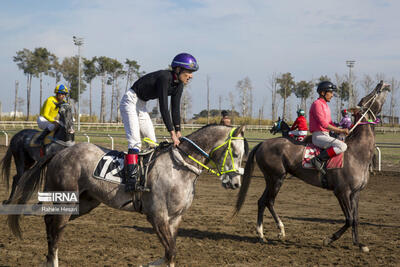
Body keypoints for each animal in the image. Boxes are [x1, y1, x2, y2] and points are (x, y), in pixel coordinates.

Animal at [7, 125, 247, 267]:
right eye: (235, 153)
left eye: (243, 154)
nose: (235, 183)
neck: (179, 167)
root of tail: (61, 152)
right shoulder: (157, 216)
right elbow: (171, 251)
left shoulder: (175, 219)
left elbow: (169, 252)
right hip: (68, 199)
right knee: (55, 229)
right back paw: (53, 260)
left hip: (84, 203)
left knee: (50, 221)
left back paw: (48, 260)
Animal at [233, 81, 390, 253]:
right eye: (368, 96)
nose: (382, 84)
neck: (356, 153)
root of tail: (262, 143)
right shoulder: (341, 192)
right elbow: (348, 219)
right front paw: (329, 239)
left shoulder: (355, 193)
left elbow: (355, 219)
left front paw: (359, 244)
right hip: (276, 178)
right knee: (268, 201)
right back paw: (276, 231)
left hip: (272, 179)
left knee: (263, 201)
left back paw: (263, 234)